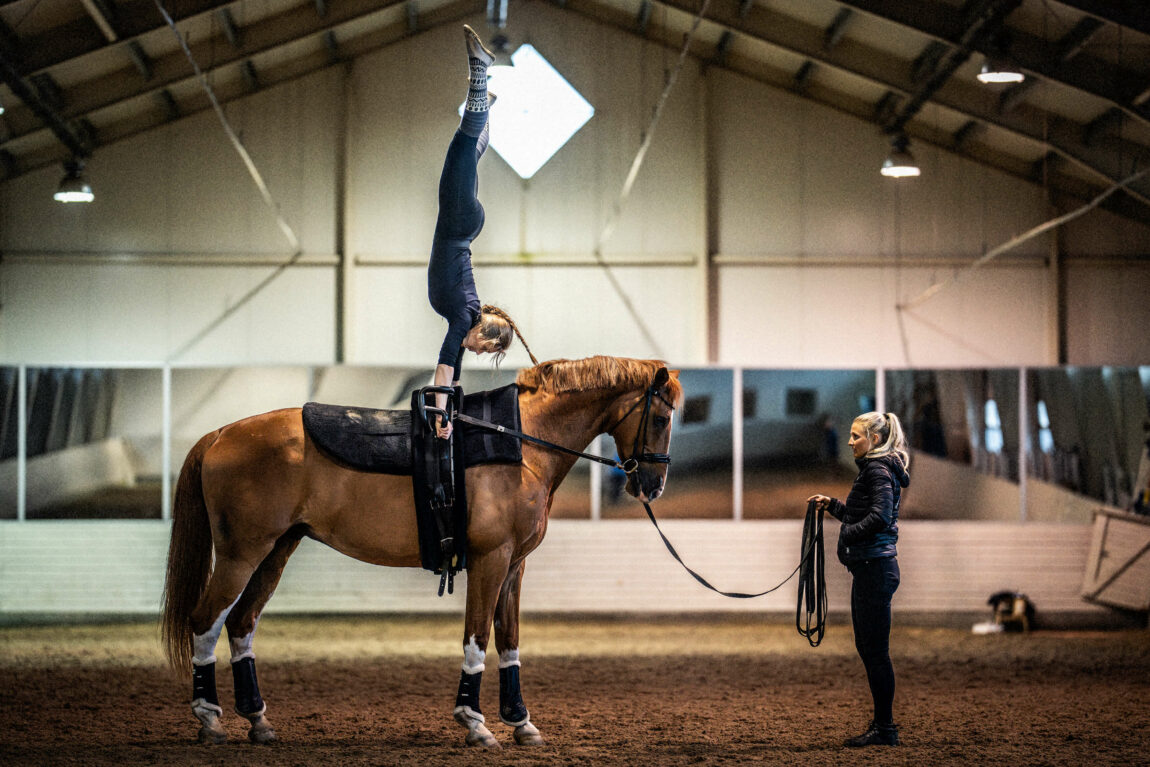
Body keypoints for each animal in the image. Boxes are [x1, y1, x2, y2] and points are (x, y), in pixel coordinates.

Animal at [162, 358, 680, 749]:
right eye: (660, 418)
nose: (653, 486)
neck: (519, 443)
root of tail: (221, 434)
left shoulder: (515, 564)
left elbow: (509, 639)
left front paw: (520, 721)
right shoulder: (491, 559)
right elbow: (477, 636)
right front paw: (474, 722)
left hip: (275, 552)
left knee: (240, 623)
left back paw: (258, 721)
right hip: (240, 555)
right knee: (205, 621)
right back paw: (210, 718)